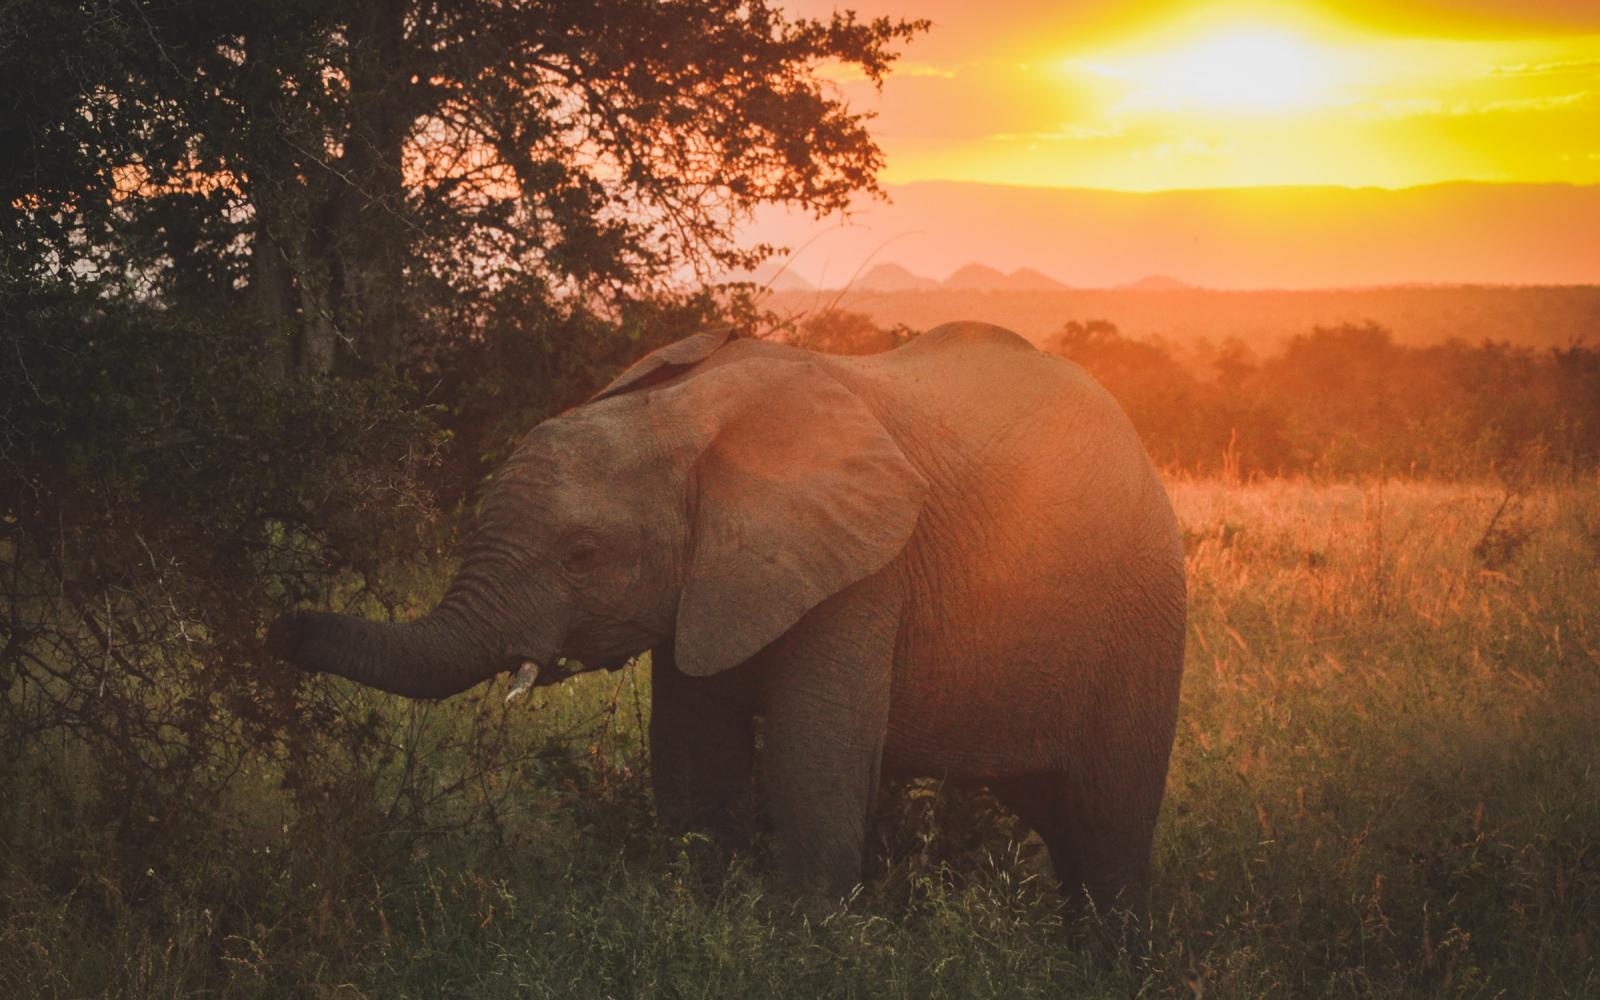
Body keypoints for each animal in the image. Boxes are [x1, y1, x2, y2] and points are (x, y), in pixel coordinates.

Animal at [265, 320, 1190, 915]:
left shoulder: (864, 571)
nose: (280, 628)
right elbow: (694, 760)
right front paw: (702, 915)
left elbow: (814, 763)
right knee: (1063, 821)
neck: (683, 419)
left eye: (582, 556)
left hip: (1145, 612)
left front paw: (809, 946)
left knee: (1107, 826)